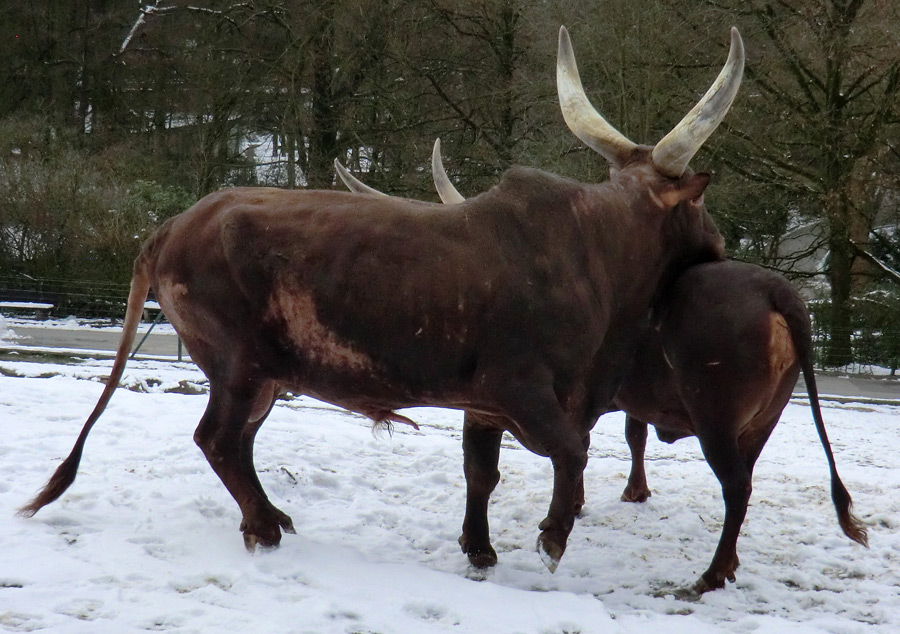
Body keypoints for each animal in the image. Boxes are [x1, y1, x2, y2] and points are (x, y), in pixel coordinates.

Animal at [21, 24, 740, 572]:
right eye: (697, 204)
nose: (723, 242)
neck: (592, 251)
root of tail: (172, 224)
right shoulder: (523, 392)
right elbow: (571, 450)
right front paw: (554, 535)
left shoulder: (481, 405)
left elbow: (481, 473)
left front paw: (479, 550)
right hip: (237, 363)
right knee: (219, 439)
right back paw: (264, 527)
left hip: (265, 376)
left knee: (240, 440)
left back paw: (269, 515)